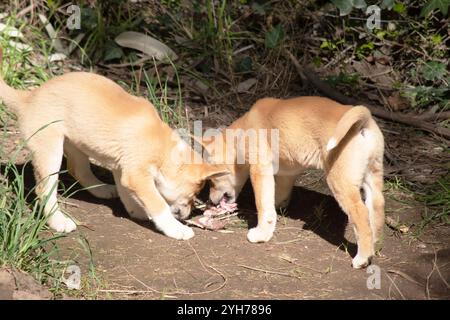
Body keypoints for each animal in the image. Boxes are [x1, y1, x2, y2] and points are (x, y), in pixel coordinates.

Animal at [0, 49, 227, 240]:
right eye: (192, 195)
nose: (187, 215)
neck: (164, 149)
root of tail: (27, 98)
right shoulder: (136, 175)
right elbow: (157, 203)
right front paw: (175, 228)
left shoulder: (122, 170)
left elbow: (128, 194)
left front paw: (137, 212)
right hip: (51, 150)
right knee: (45, 190)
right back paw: (59, 222)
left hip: (77, 145)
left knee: (78, 170)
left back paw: (103, 190)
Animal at [206, 97, 384, 268]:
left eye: (212, 179)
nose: (210, 201)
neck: (242, 131)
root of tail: (363, 121)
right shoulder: (286, 174)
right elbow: (276, 197)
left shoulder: (259, 169)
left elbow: (263, 206)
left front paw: (261, 234)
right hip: (372, 177)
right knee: (376, 207)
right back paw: (373, 243)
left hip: (340, 182)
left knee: (361, 214)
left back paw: (363, 258)